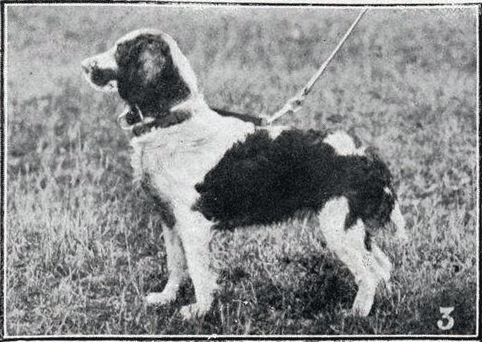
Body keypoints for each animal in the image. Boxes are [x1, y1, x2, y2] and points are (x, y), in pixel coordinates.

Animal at [82, 28, 406, 320]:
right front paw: (165, 298)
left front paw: (198, 310)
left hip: (339, 227)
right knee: (382, 265)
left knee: (369, 272)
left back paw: (355, 314)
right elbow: (176, 265)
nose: (85, 65)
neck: (173, 122)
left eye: (121, 50)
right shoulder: (169, 218)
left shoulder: (192, 223)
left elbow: (198, 271)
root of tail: (367, 157)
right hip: (354, 229)